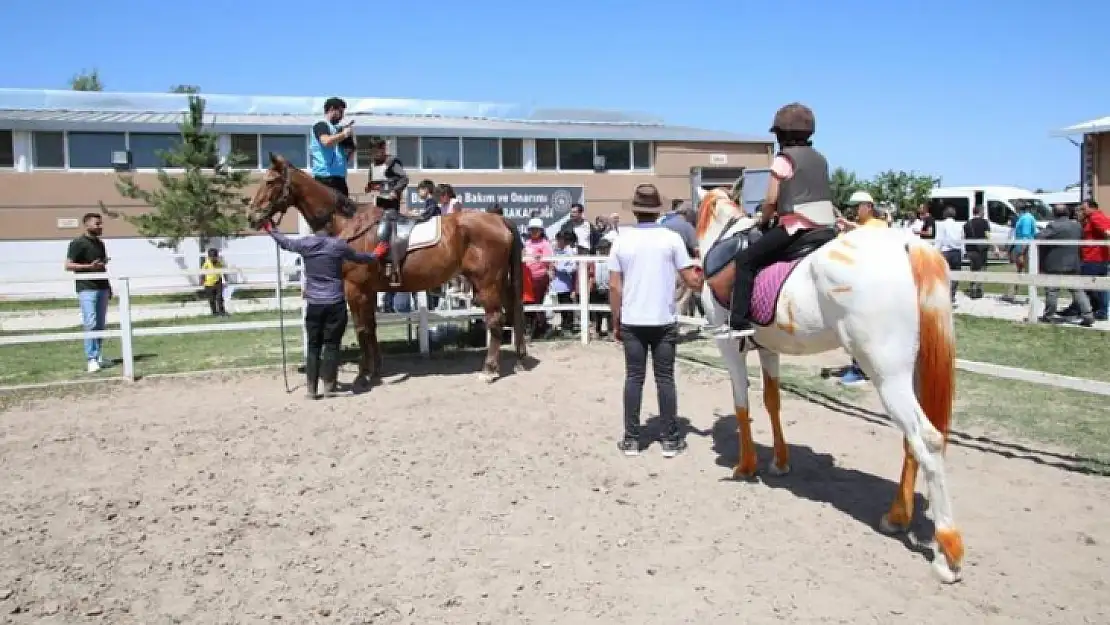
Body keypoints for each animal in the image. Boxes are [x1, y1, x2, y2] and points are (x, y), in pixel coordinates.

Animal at [249, 153, 526, 386]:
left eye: (271, 181)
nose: (252, 215)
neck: (350, 225)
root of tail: (499, 219)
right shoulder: (369, 291)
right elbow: (371, 328)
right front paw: (375, 370)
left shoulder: (355, 289)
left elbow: (361, 329)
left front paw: (363, 375)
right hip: (500, 282)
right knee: (513, 313)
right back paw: (520, 360)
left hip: (487, 283)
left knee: (496, 319)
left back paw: (489, 370)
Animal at [692, 188, 963, 586]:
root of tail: (905, 244)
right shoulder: (769, 349)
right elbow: (772, 401)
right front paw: (780, 462)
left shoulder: (729, 347)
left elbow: (742, 404)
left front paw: (746, 466)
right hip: (909, 373)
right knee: (911, 441)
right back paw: (897, 517)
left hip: (886, 374)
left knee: (926, 439)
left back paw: (948, 553)